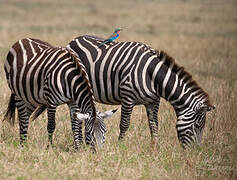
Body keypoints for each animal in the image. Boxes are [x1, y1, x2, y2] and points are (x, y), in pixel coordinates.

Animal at [66, 34, 215, 148]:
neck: (152, 75)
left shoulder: (154, 101)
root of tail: (74, 39)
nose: (195, 151)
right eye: (198, 125)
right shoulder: (127, 98)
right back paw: (78, 145)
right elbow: (125, 124)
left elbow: (154, 125)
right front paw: (120, 146)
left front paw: (155, 147)